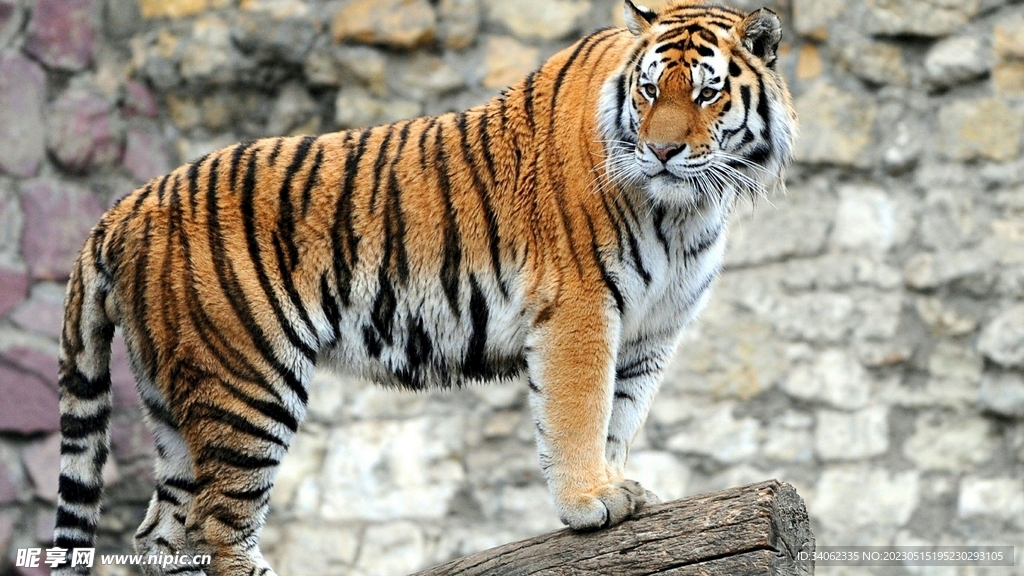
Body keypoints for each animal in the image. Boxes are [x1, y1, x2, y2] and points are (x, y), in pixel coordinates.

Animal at [53, 1, 796, 574]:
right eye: (648, 91)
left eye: (705, 92)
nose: (662, 151)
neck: (685, 208)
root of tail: (122, 207)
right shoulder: (581, 308)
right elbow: (580, 411)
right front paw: (590, 502)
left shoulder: (651, 329)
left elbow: (620, 415)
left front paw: (616, 486)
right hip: (246, 383)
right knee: (218, 523)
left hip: (175, 401)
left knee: (162, 530)